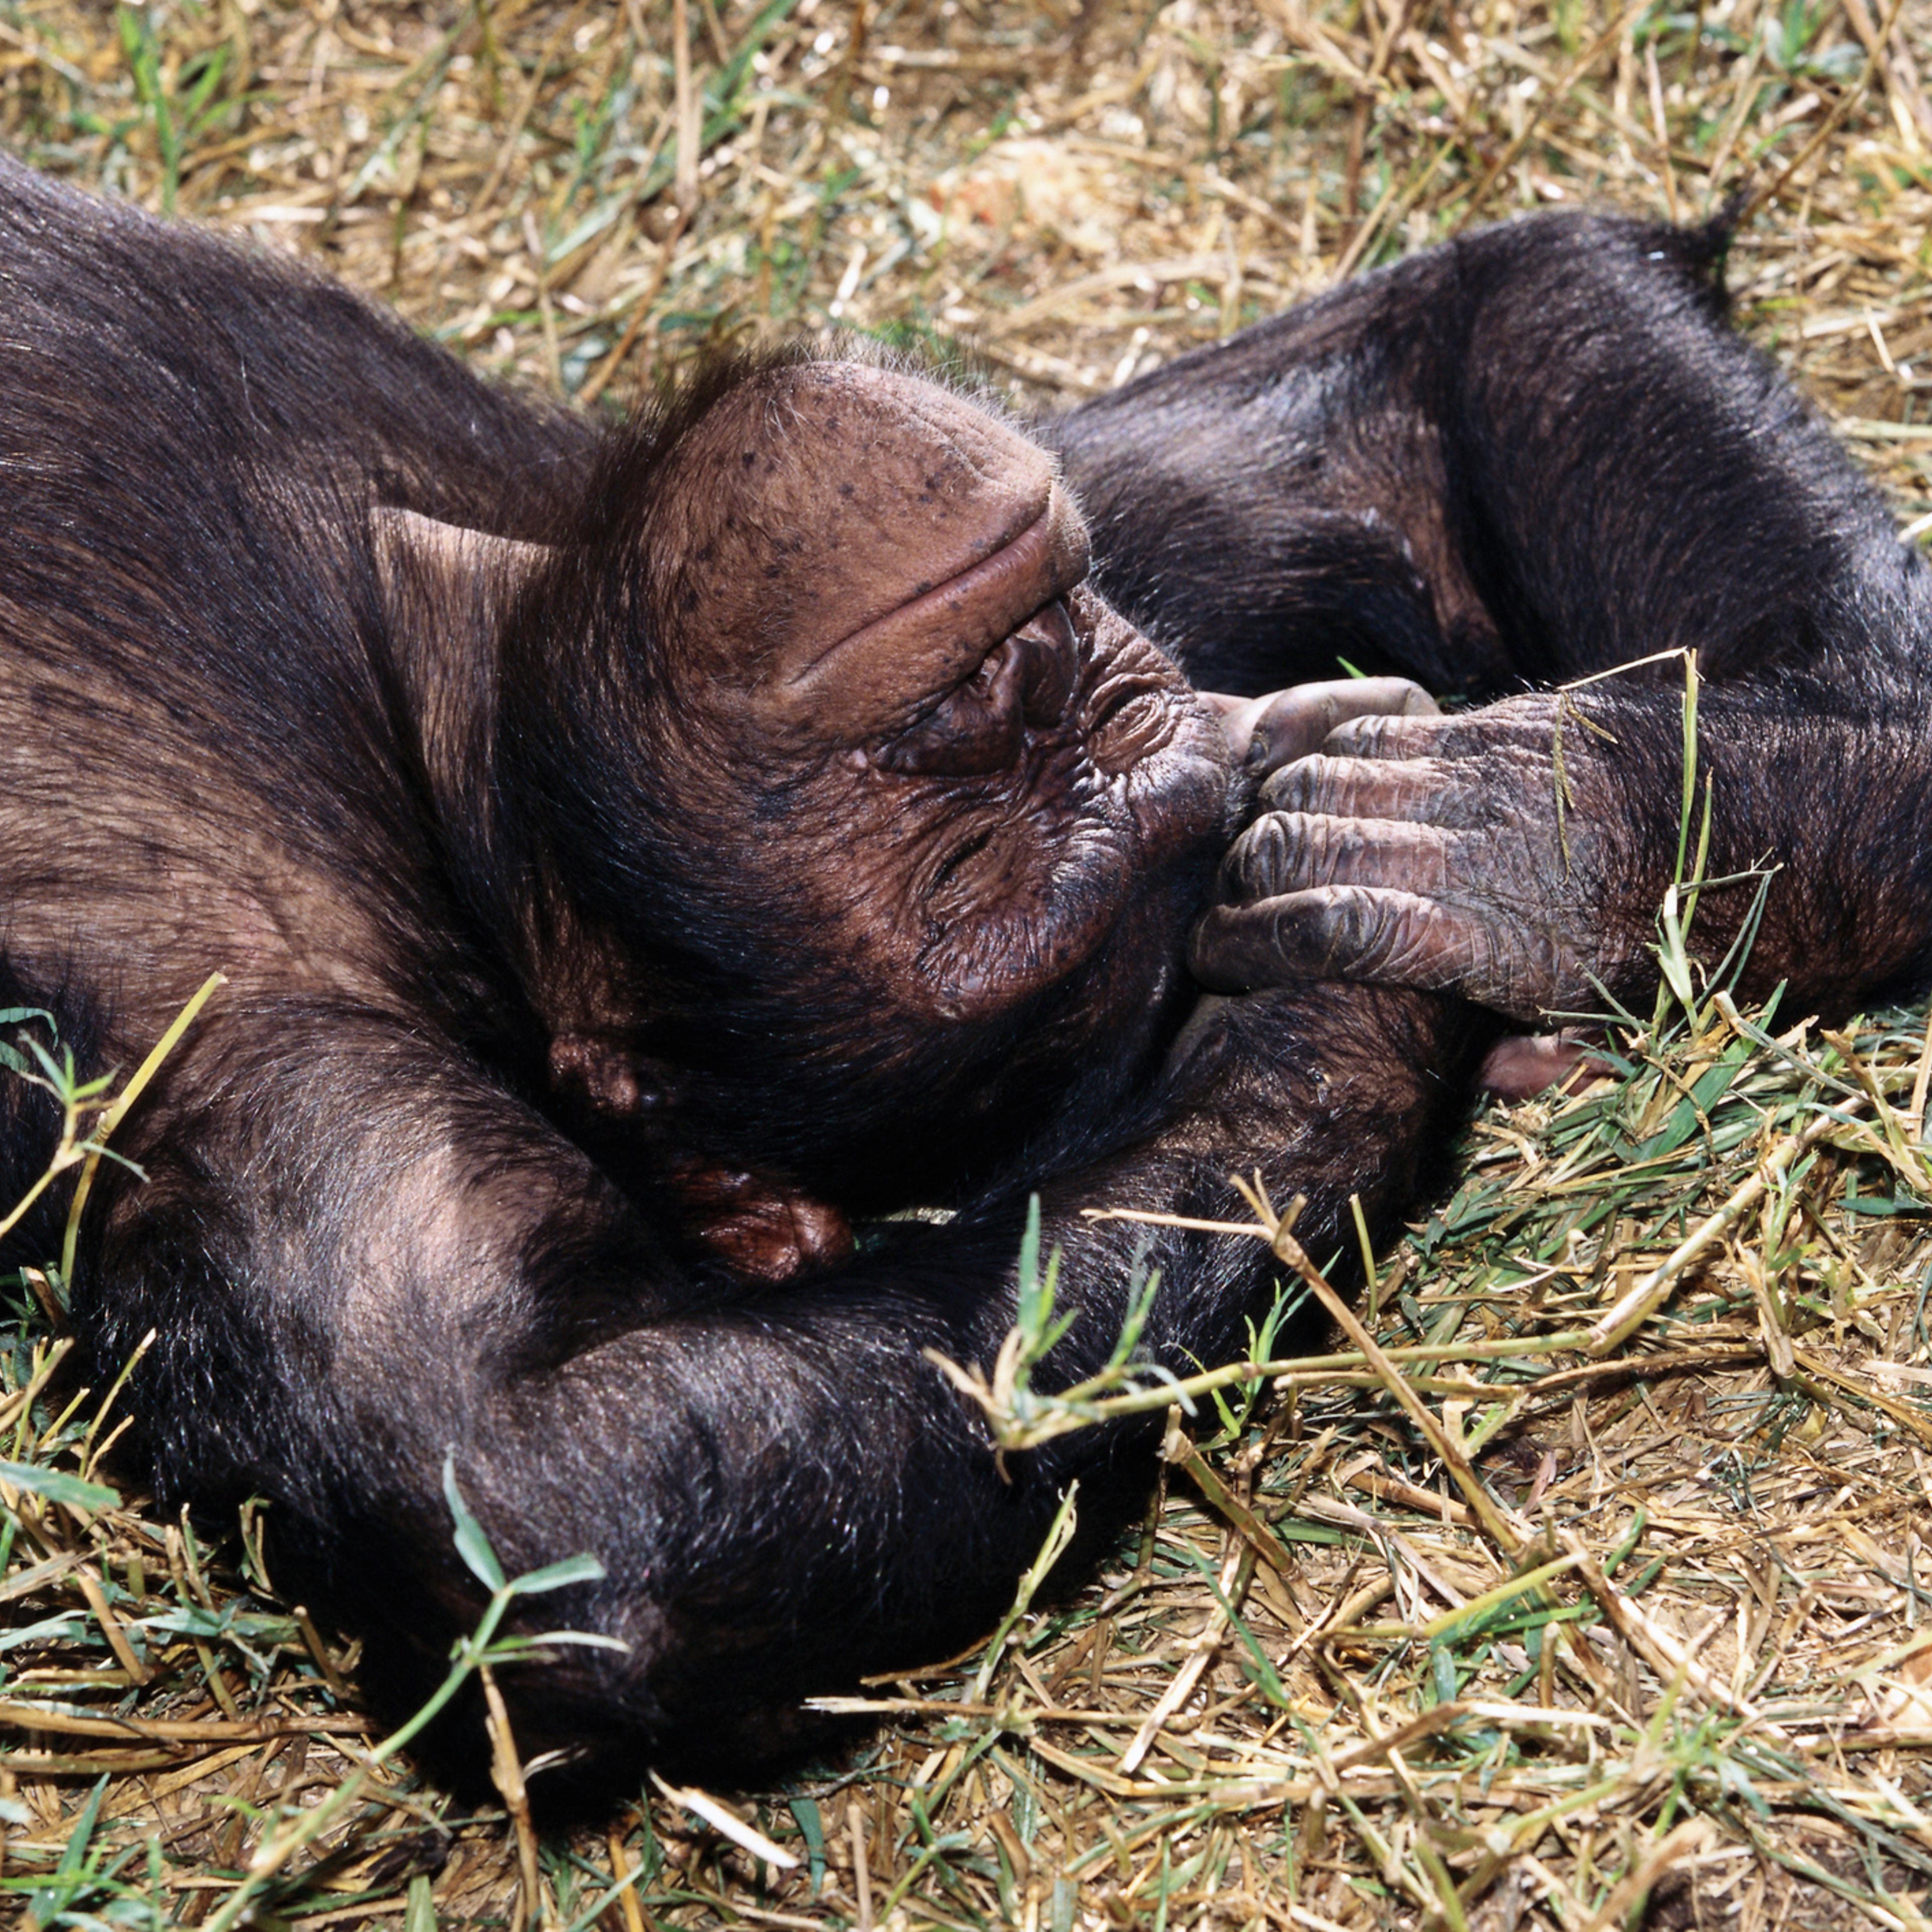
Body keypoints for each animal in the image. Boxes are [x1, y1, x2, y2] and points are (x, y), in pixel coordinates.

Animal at [1, 151, 1926, 1793]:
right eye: (969, 858)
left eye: (1097, 716)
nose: (1002, 691)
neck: (440, 750)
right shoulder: (226, 1015)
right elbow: (537, 1488)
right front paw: (1363, 985)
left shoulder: (1142, 558)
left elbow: (1431, 363)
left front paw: (1560, 839)